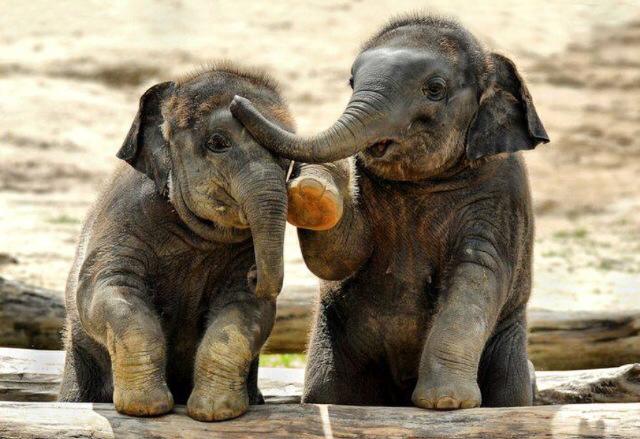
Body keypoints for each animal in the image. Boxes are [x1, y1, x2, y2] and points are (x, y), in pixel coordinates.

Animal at [58, 63, 294, 421]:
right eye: (218, 142)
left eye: (289, 155)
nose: (256, 274)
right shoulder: (123, 223)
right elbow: (106, 289)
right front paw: (145, 407)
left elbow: (244, 310)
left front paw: (214, 411)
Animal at [230, 15, 549, 409]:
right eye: (352, 82)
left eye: (435, 89)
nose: (236, 101)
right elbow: (342, 257)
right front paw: (313, 191)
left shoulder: (501, 195)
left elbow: (477, 274)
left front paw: (445, 403)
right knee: (327, 391)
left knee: (511, 391)